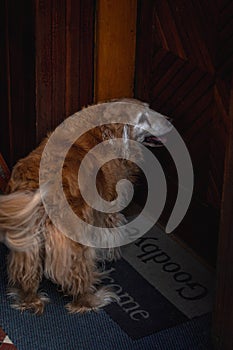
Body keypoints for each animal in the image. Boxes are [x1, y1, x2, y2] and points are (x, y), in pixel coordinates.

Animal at [0, 99, 171, 314]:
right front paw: (111, 253)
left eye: (149, 109)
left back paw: (28, 299)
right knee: (78, 281)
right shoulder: (107, 204)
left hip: (27, 246)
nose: (169, 122)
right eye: (143, 118)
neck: (102, 130)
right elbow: (111, 229)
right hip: (74, 242)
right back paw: (93, 298)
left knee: (27, 276)